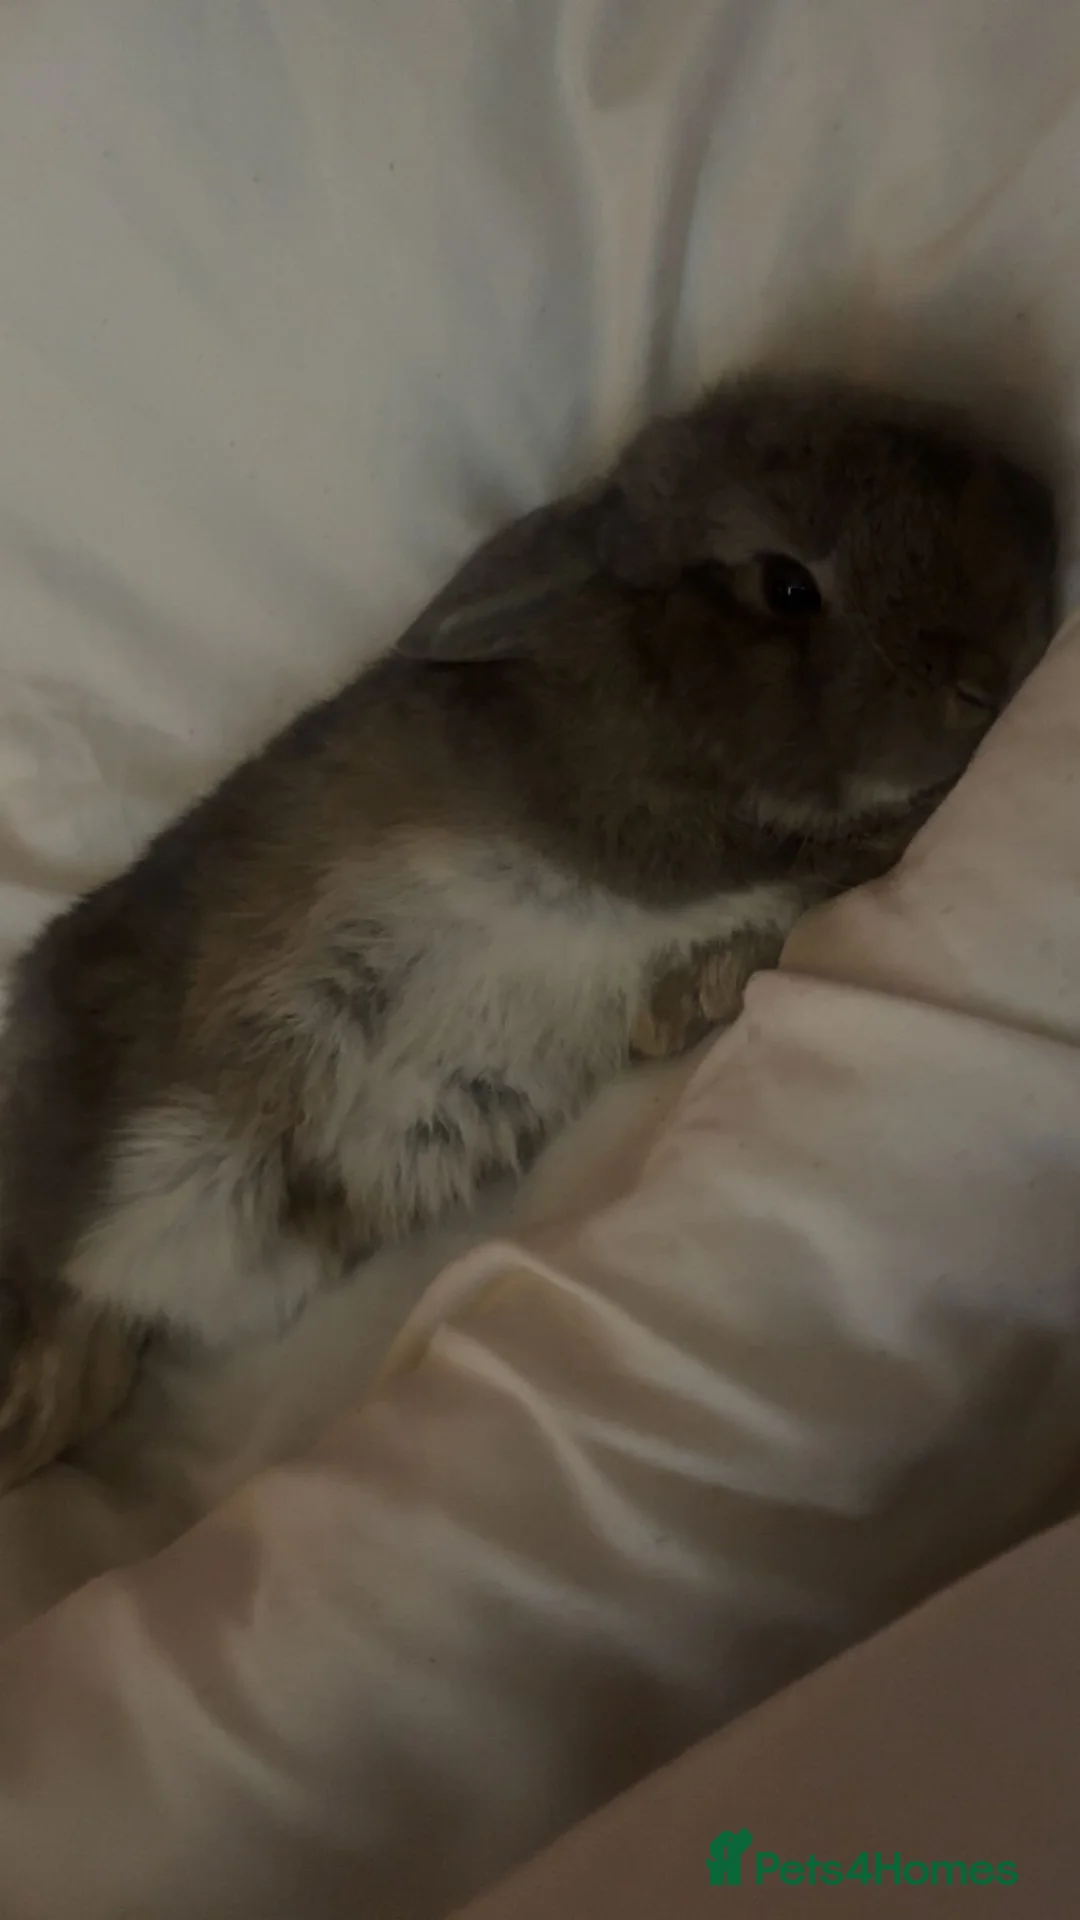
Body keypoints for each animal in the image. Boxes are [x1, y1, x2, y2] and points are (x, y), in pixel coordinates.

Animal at [0, 370, 1057, 1491]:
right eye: (787, 588)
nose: (992, 675)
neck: (631, 664)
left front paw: (686, 1005)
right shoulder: (655, 841)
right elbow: (810, 854)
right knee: (58, 1284)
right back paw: (26, 1421)